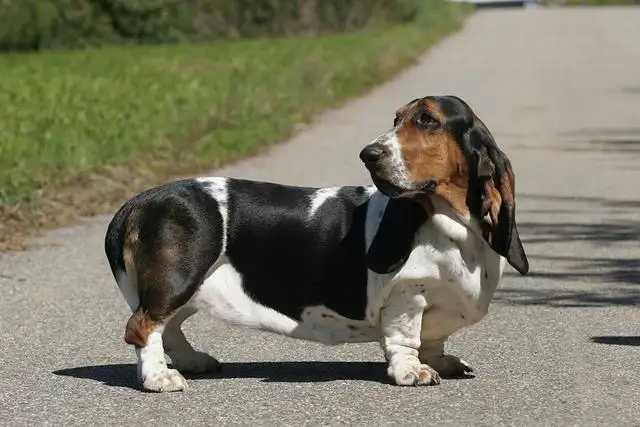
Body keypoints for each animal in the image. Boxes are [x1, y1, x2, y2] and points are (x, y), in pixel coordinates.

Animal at [105, 95, 528, 392]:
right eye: (396, 120)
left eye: (427, 120)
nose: (368, 155)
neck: (452, 224)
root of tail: (140, 200)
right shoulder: (407, 296)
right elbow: (405, 339)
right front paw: (413, 372)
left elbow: (434, 339)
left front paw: (440, 362)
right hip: (179, 278)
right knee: (143, 326)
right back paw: (160, 378)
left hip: (187, 287)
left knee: (168, 327)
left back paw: (191, 362)